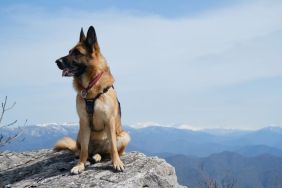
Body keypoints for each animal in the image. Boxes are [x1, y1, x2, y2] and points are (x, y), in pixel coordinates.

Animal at [53, 25, 130, 174]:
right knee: (84, 150)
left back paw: (100, 157)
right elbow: (84, 150)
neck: (91, 86)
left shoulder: (109, 121)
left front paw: (117, 163)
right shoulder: (84, 122)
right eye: (69, 51)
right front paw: (80, 165)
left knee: (107, 152)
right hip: (80, 133)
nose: (57, 61)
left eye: (77, 53)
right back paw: (90, 157)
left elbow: (113, 148)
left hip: (124, 136)